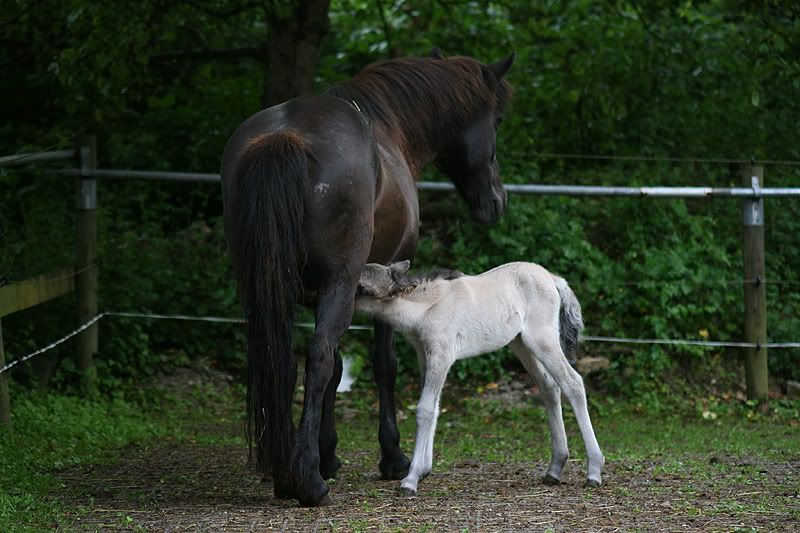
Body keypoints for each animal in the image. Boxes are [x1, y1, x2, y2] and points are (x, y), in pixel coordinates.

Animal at [220, 50, 514, 506]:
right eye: (497, 120)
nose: (496, 201)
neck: (389, 130)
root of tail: (283, 137)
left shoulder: (321, 292)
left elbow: (339, 369)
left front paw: (328, 453)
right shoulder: (378, 284)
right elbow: (381, 364)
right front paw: (390, 457)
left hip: (269, 289)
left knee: (283, 358)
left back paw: (286, 470)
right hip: (334, 284)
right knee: (318, 356)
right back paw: (307, 481)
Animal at [355, 261, 605, 495]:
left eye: (362, 283)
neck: (428, 305)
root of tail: (553, 279)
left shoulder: (441, 355)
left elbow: (424, 409)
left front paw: (411, 479)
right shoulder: (424, 356)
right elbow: (434, 407)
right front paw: (424, 470)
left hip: (542, 339)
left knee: (572, 383)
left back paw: (593, 471)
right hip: (521, 343)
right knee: (550, 386)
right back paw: (555, 468)